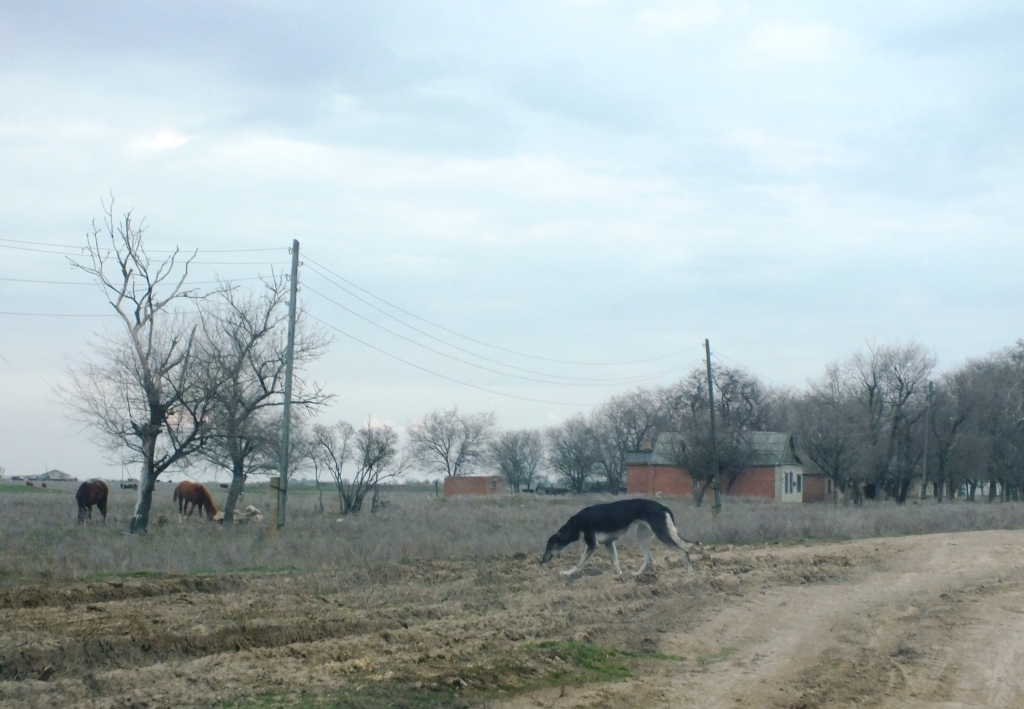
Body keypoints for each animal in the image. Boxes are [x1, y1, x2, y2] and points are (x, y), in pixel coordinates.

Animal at [541, 498, 699, 576]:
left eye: (549, 546)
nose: (541, 561)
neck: (576, 523)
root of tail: (663, 507)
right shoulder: (608, 543)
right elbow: (615, 562)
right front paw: (619, 576)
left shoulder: (592, 545)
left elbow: (579, 563)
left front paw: (567, 573)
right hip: (641, 535)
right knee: (649, 559)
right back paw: (636, 574)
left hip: (662, 535)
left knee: (684, 552)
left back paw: (690, 574)